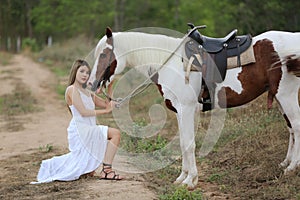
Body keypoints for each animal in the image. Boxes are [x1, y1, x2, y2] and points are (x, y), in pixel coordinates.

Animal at [87, 26, 300, 189]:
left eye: (104, 54)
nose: (91, 83)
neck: (172, 63)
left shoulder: (187, 109)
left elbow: (189, 144)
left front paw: (190, 181)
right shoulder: (180, 112)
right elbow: (183, 143)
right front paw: (182, 177)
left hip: (286, 95)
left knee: (296, 126)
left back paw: (292, 168)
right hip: (279, 97)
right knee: (290, 128)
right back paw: (286, 163)